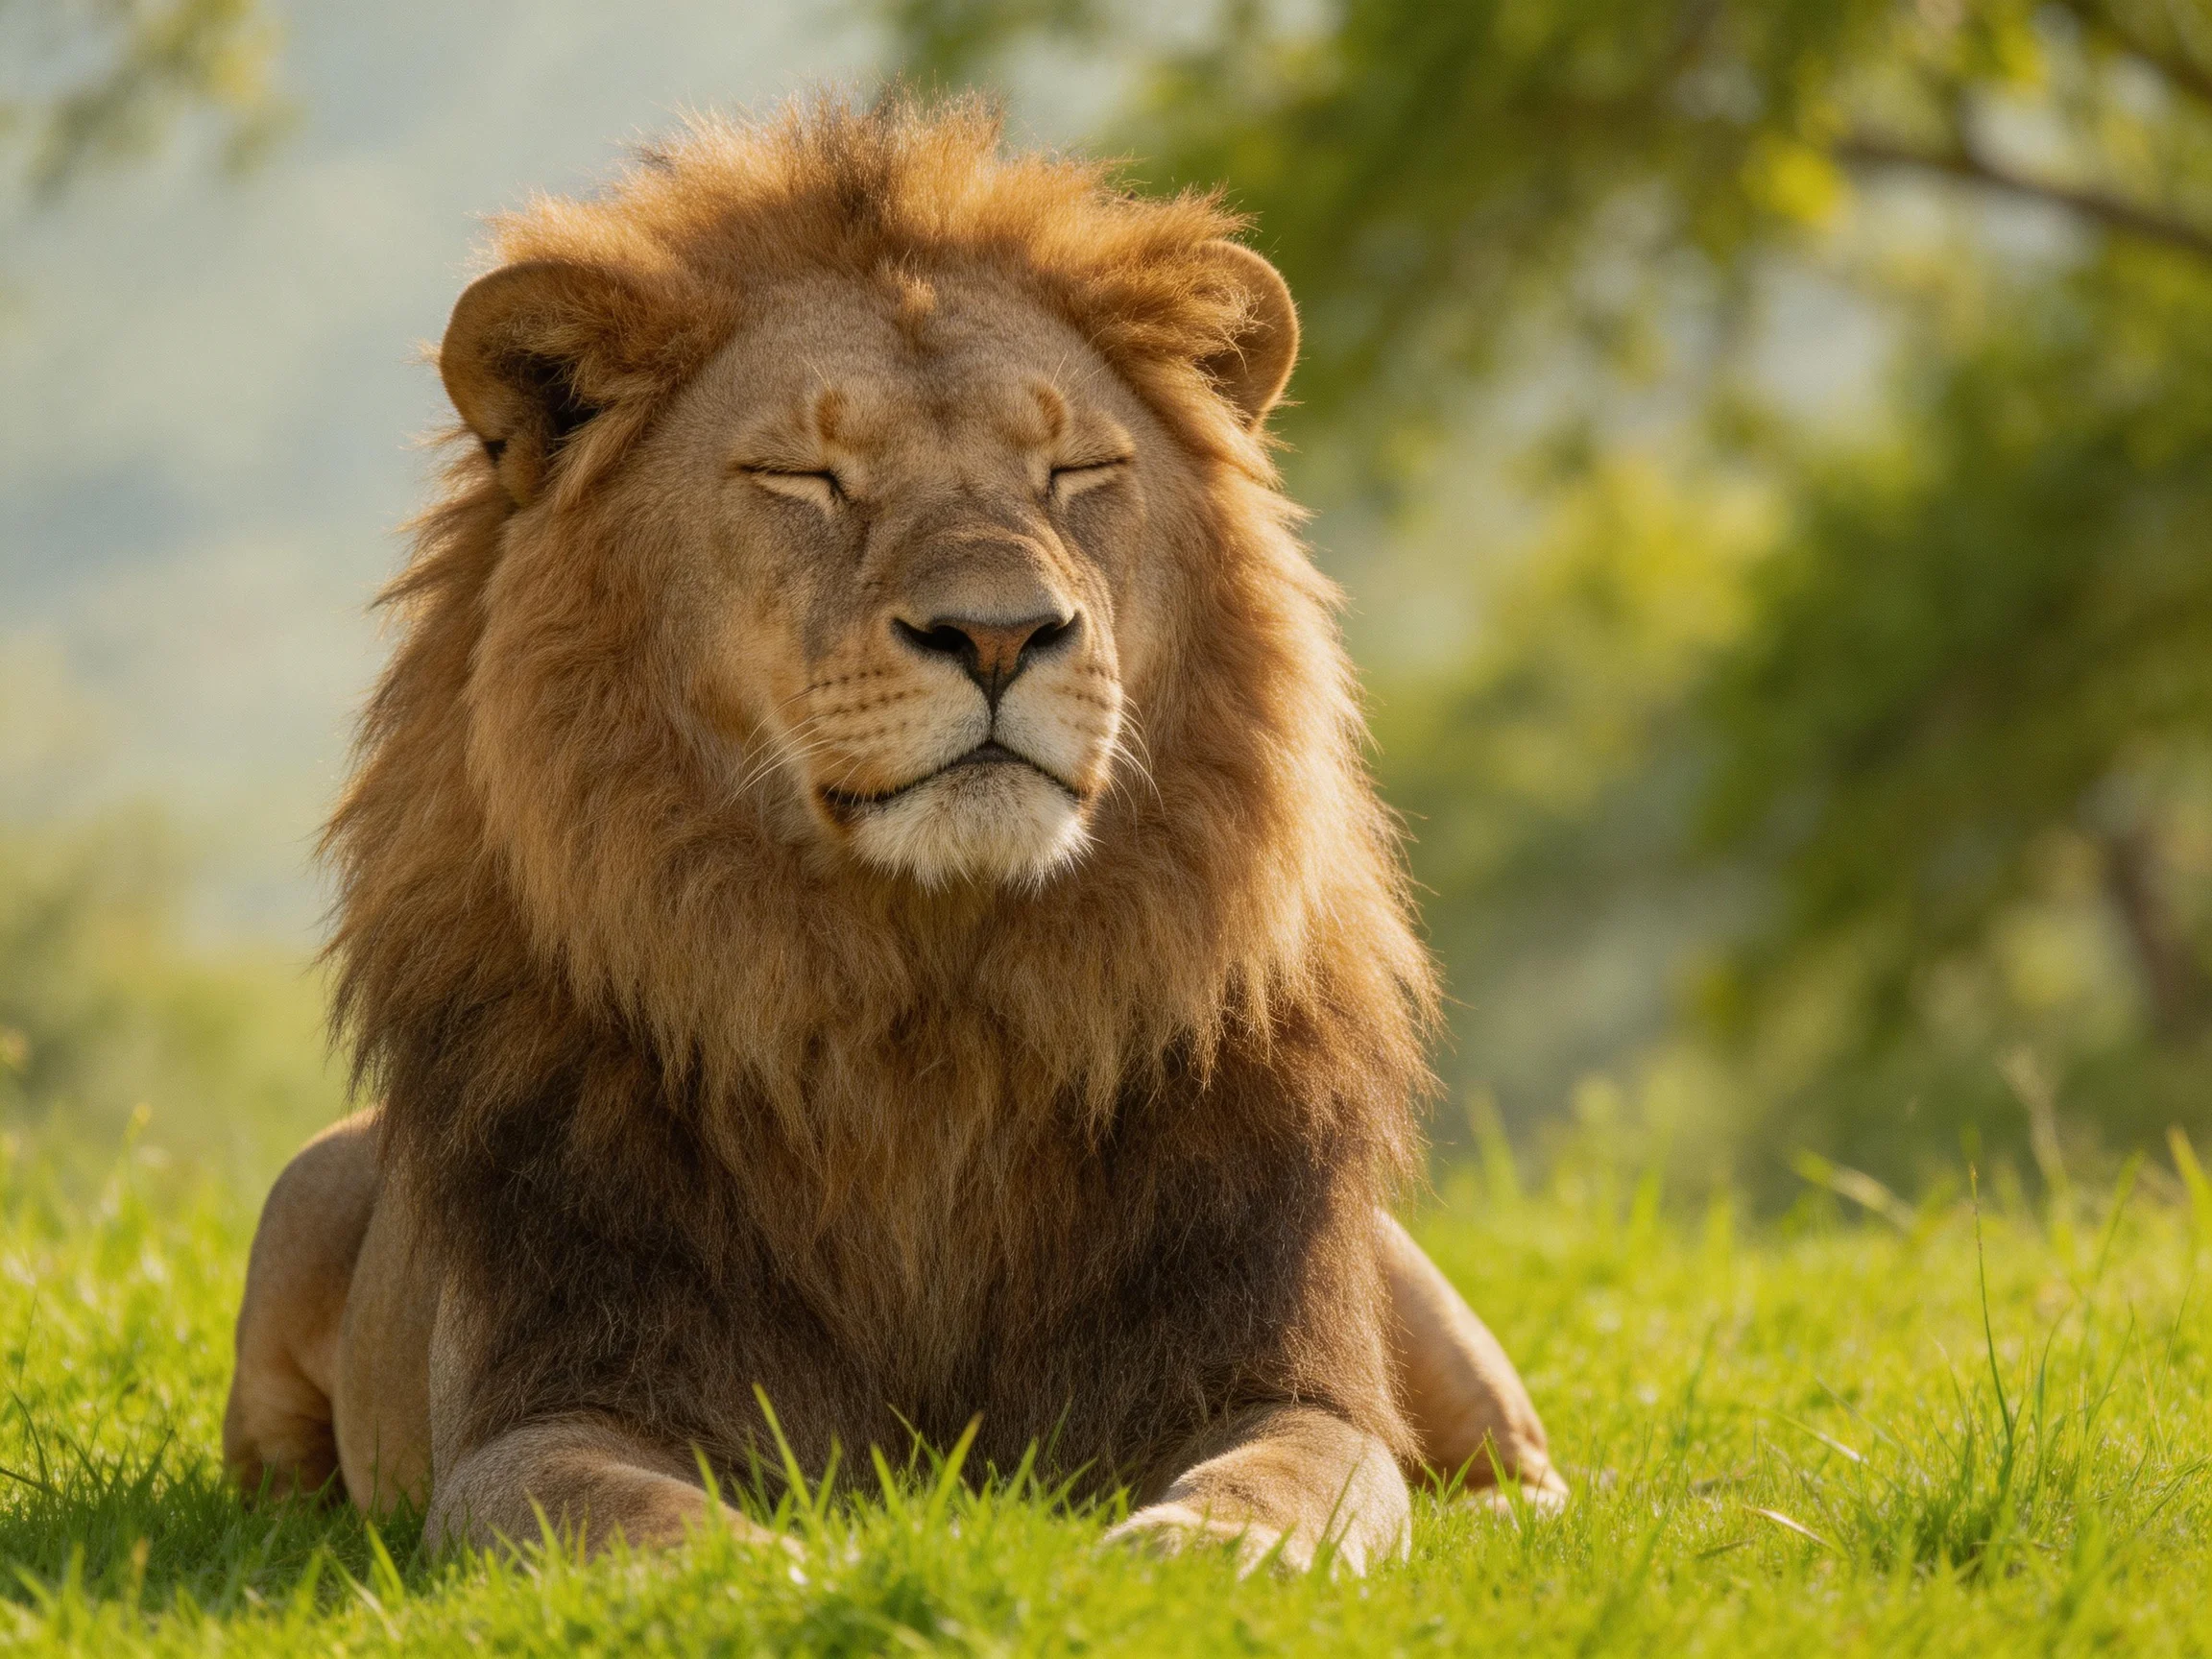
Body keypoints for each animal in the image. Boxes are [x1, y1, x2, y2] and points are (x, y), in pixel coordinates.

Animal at [222, 97, 1564, 1575]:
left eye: (1078, 471)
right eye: (805, 477)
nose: (1000, 633)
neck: (927, 1006)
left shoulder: (1274, 1365)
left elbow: (1295, 1476)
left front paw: (1190, 1558)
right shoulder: (548, 1400)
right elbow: (626, 1511)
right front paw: (791, 1573)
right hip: (298, 1203)